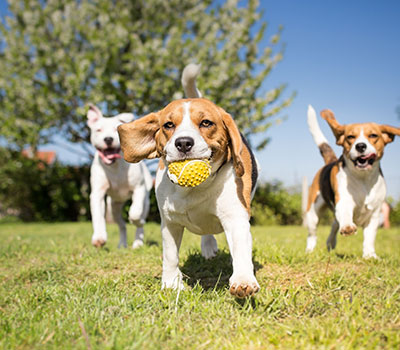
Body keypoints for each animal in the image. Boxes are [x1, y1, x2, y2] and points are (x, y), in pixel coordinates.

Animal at [87, 104, 153, 249]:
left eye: (115, 129)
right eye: (98, 130)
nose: (108, 139)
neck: (115, 166)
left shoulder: (138, 189)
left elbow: (135, 213)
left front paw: (137, 220)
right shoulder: (97, 194)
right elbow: (98, 216)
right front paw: (99, 238)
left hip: (146, 201)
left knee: (139, 219)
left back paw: (138, 242)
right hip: (113, 207)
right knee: (122, 225)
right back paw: (122, 244)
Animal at [116, 65, 260, 298]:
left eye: (206, 123)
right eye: (168, 125)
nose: (183, 142)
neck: (194, 190)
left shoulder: (235, 218)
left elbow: (240, 250)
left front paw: (243, 280)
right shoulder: (169, 223)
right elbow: (170, 255)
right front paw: (171, 284)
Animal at [304, 105, 398, 258]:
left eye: (373, 135)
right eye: (350, 137)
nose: (360, 146)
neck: (363, 179)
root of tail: (330, 162)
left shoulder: (375, 213)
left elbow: (370, 237)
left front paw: (370, 255)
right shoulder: (344, 201)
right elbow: (346, 215)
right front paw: (348, 227)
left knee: (335, 224)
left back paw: (331, 243)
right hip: (312, 213)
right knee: (312, 234)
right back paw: (310, 250)